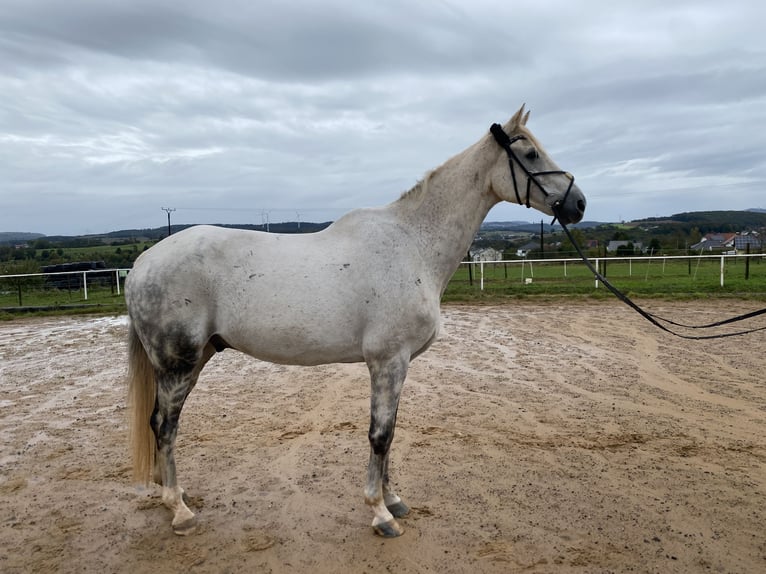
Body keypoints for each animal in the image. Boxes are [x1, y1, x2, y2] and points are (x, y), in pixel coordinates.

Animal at [126, 106, 588, 544]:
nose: (579, 204)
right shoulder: (388, 360)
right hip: (178, 364)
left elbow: (391, 432)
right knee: (164, 426)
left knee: (160, 424)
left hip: (196, 358)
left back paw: (173, 494)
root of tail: (142, 263)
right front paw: (380, 514)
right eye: (530, 153)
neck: (412, 244)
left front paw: (394, 500)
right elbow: (380, 435)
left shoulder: (398, 364)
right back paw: (179, 510)